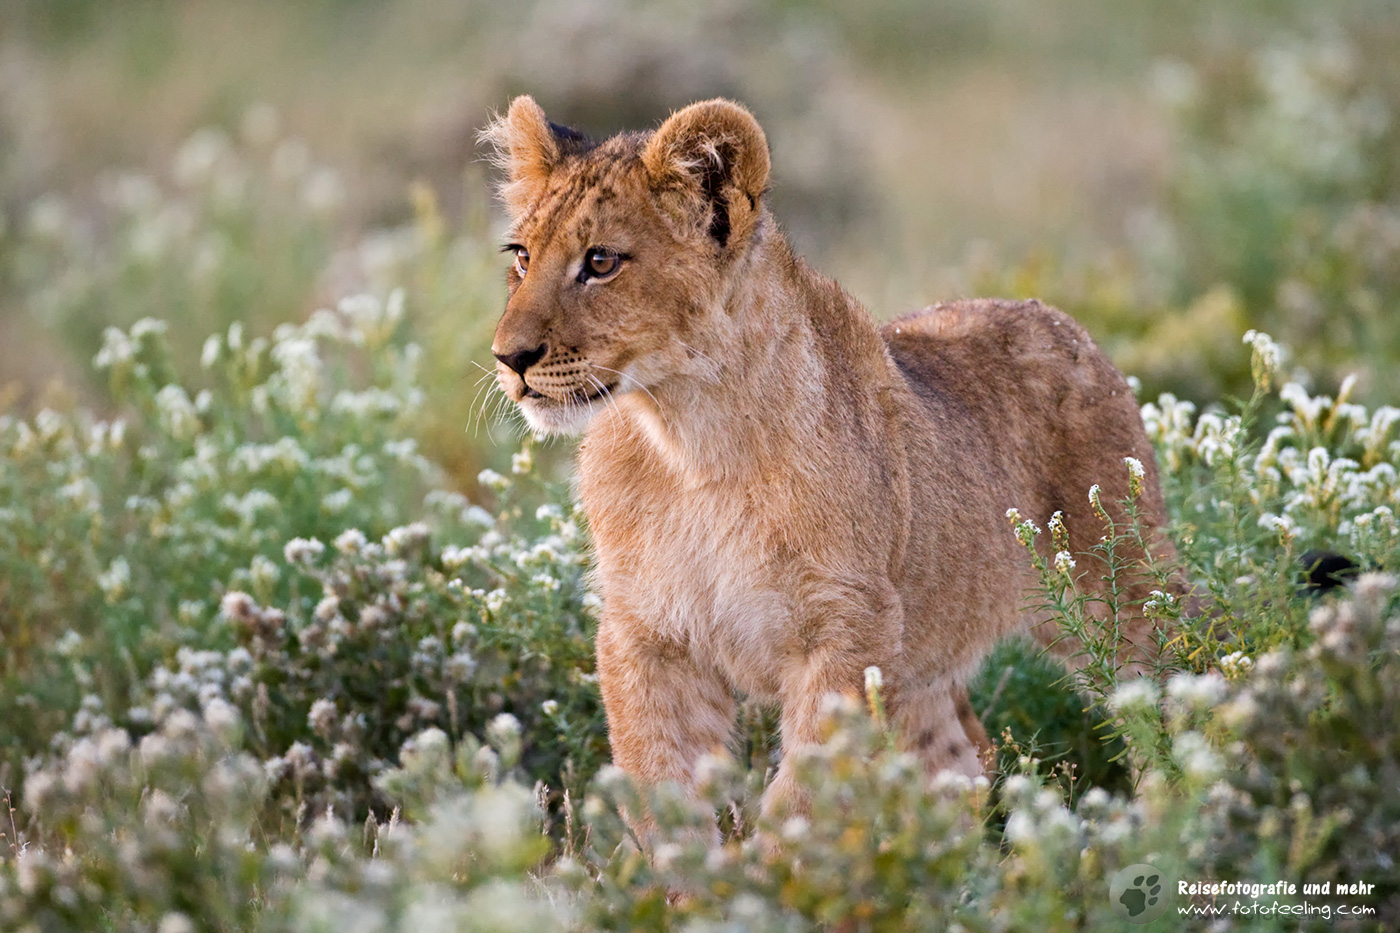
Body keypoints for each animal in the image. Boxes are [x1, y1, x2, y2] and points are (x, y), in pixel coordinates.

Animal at [483, 96, 1175, 819]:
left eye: (601, 262)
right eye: (522, 256)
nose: (509, 357)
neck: (689, 440)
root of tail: (1064, 321)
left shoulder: (849, 629)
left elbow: (802, 795)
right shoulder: (646, 638)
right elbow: (664, 795)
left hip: (1124, 592)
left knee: (1175, 693)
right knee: (962, 758)